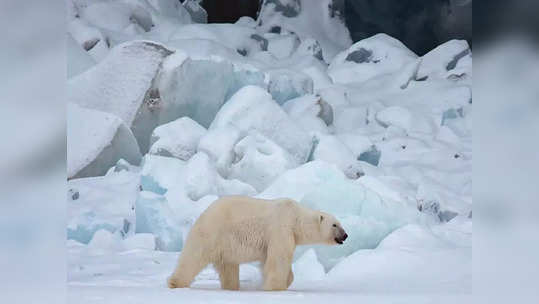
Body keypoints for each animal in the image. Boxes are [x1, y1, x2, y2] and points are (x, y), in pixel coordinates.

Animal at [167, 196, 348, 290]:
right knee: (193, 256)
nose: (346, 235)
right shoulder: (281, 229)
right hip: (212, 233)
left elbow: (269, 259)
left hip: (225, 245)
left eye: (340, 223)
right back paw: (175, 282)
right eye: (334, 225)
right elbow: (278, 259)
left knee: (228, 267)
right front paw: (276, 286)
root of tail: (203, 213)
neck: (295, 217)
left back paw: (232, 287)